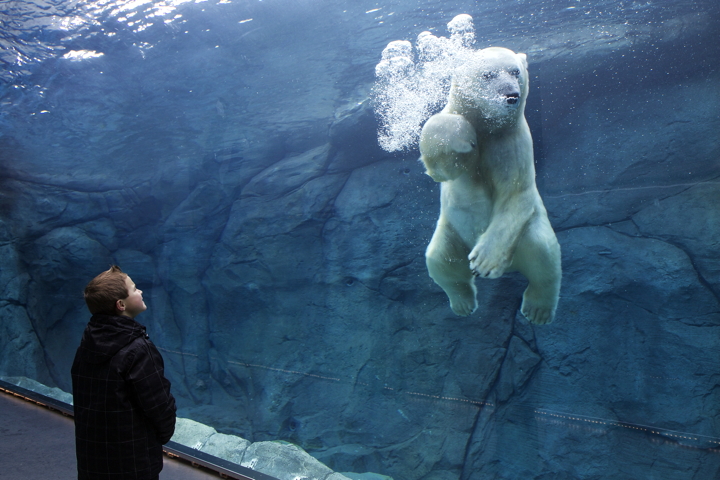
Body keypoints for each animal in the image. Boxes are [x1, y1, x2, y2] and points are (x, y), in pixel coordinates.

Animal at [420, 47, 561, 325]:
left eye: (515, 71)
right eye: (487, 75)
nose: (511, 95)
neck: (489, 129)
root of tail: (512, 265)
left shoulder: (512, 142)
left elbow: (515, 193)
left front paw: (484, 262)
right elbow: (443, 167)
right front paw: (462, 136)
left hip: (527, 230)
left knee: (543, 255)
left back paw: (537, 310)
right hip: (451, 234)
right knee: (440, 261)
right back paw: (463, 303)